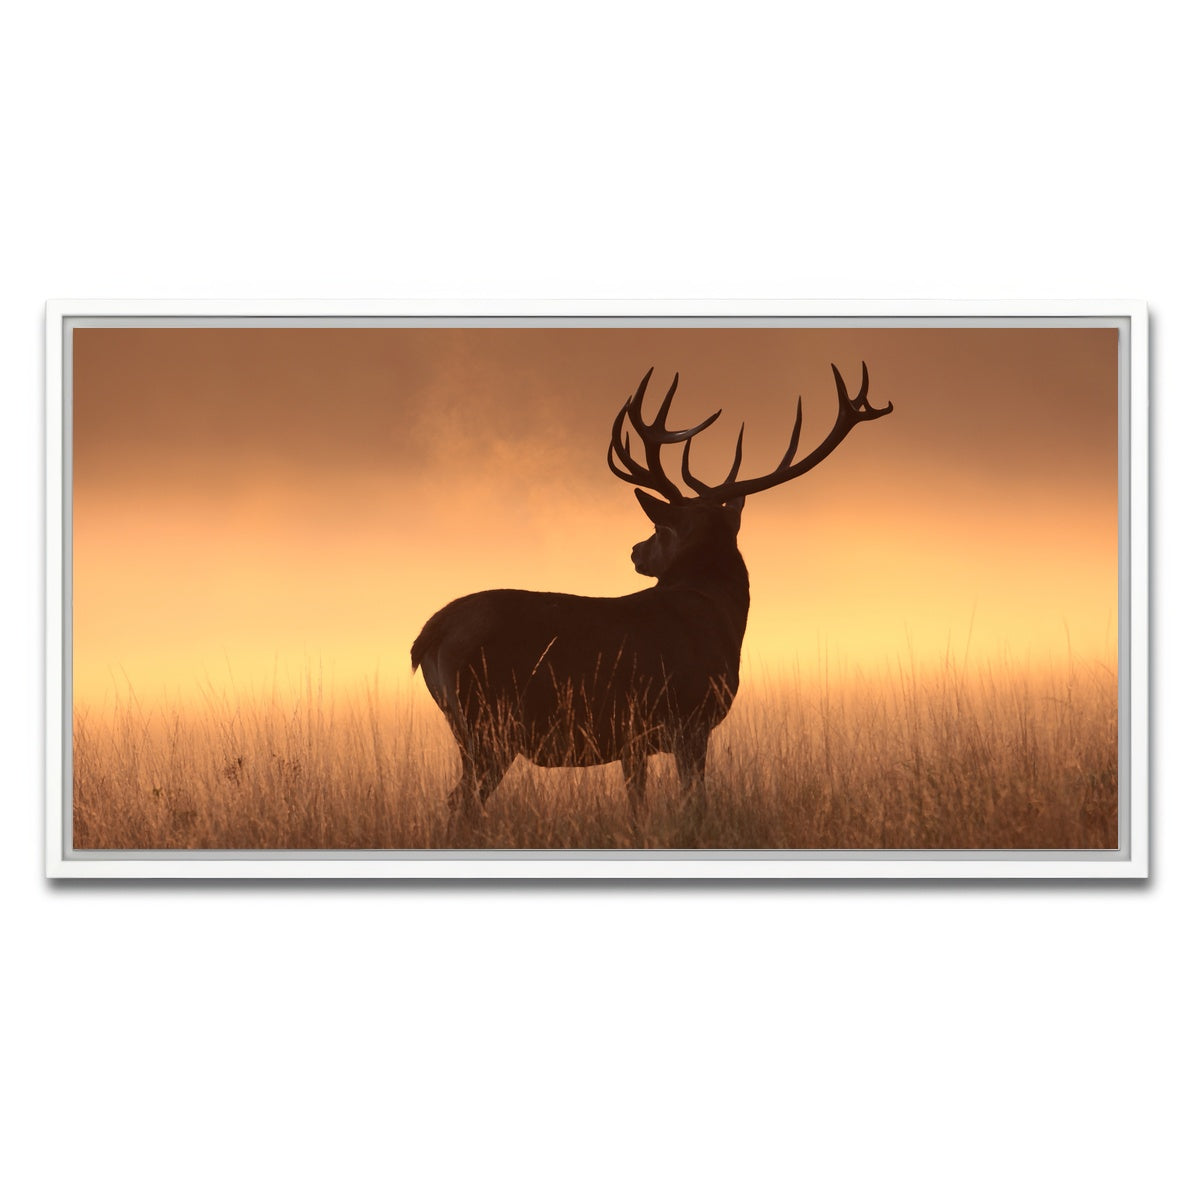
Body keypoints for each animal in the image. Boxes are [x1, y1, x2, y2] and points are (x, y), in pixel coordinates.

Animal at [410, 362, 892, 821]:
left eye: (659, 531)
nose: (635, 551)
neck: (720, 618)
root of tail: (429, 636)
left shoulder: (634, 739)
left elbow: (637, 803)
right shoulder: (689, 719)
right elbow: (694, 802)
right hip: (489, 722)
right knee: (461, 802)